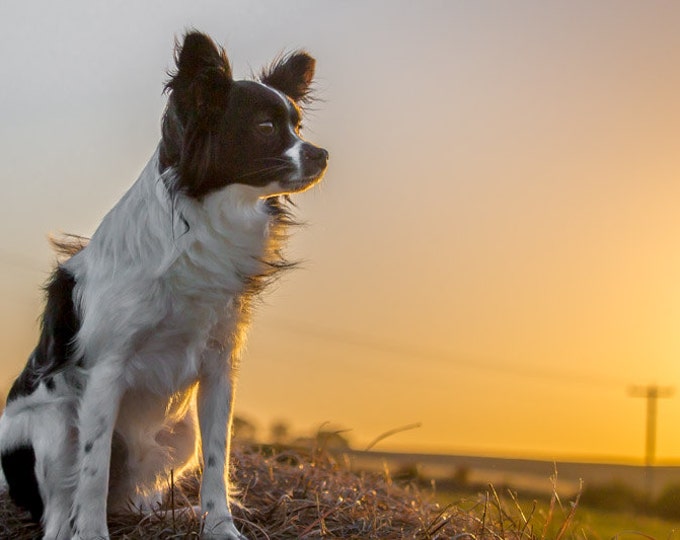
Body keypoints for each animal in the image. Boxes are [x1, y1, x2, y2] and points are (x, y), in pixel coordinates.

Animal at [0, 30, 330, 540]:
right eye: (265, 128)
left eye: (297, 125)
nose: (321, 154)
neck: (205, 220)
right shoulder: (106, 373)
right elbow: (92, 471)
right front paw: (92, 534)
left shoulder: (218, 371)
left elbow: (218, 461)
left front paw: (220, 526)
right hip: (55, 422)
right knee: (59, 511)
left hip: (179, 434)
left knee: (131, 500)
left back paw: (176, 514)